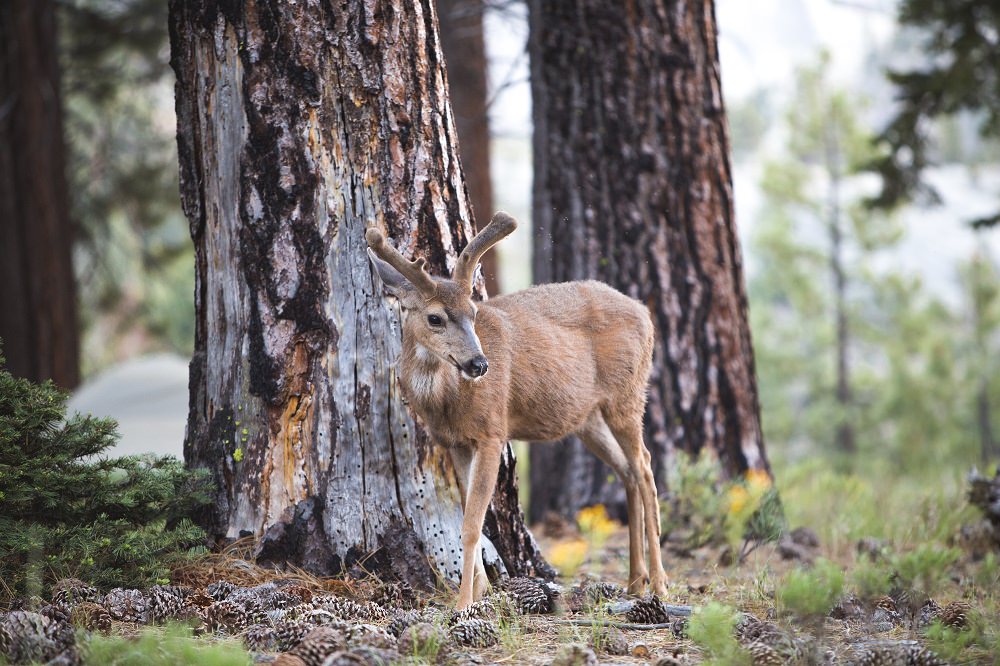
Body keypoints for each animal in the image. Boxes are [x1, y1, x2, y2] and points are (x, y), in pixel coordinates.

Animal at [366, 211, 668, 610]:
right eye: (435, 318)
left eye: (473, 311)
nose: (479, 364)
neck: (446, 400)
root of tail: (646, 314)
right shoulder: (455, 442)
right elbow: (469, 515)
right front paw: (481, 591)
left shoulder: (492, 431)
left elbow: (471, 524)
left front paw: (464, 603)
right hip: (588, 418)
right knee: (628, 472)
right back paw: (635, 581)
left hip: (627, 394)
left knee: (646, 467)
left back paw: (660, 583)